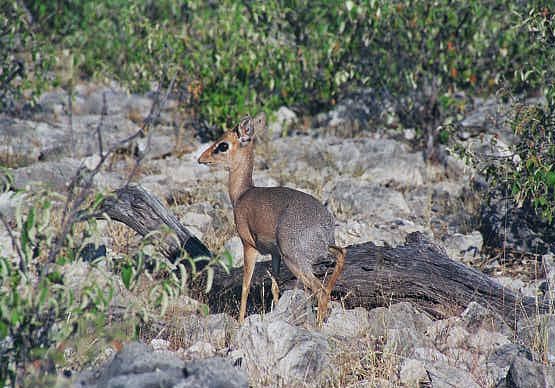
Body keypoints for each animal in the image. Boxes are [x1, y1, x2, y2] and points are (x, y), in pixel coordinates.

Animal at [198, 113, 346, 324]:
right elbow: (275, 286)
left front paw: (240, 322)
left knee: (322, 291)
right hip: (315, 253)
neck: (242, 194)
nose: (201, 158)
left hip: (295, 260)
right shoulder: (274, 254)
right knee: (341, 255)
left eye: (223, 145)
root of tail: (325, 227)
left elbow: (245, 286)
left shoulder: (248, 246)